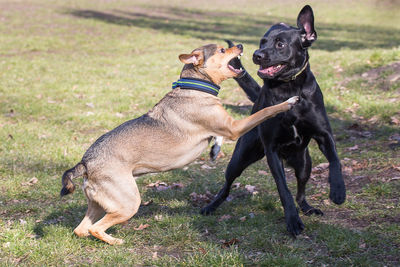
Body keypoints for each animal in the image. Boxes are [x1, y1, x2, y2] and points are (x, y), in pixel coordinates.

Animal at [61, 43, 298, 245]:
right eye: (222, 50)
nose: (239, 45)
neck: (196, 88)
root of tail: (86, 163)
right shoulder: (234, 127)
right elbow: (265, 111)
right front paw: (288, 102)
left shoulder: (225, 127)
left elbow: (218, 137)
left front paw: (215, 150)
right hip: (128, 203)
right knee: (95, 228)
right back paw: (116, 241)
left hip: (99, 203)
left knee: (81, 229)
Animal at [202, 5, 346, 237]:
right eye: (262, 42)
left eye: (280, 44)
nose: (256, 54)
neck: (288, 87)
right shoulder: (272, 151)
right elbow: (283, 189)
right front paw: (292, 221)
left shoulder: (324, 135)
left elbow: (335, 160)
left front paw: (338, 191)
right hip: (239, 159)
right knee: (226, 185)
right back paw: (211, 206)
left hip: (305, 164)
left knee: (301, 191)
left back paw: (307, 208)